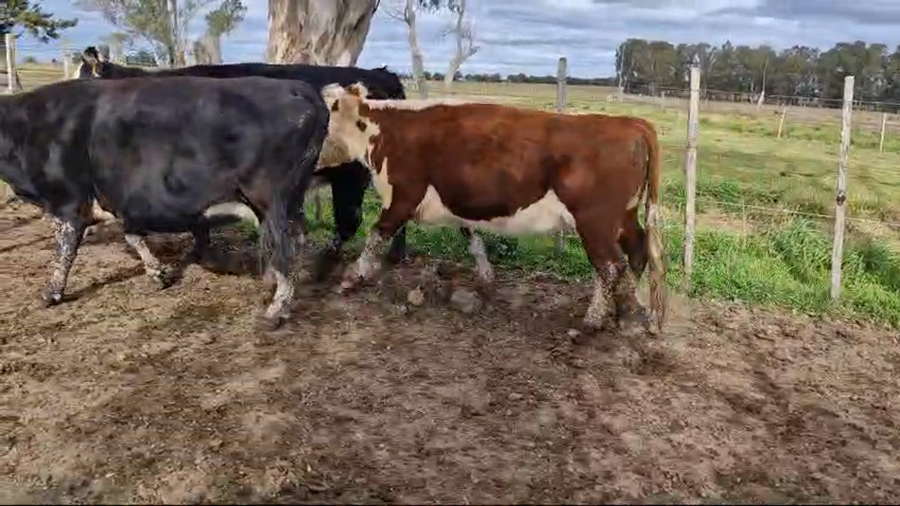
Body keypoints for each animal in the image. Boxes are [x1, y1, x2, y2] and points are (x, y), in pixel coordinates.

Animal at [0, 75, 330, 328]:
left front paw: (51, 293)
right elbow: (133, 236)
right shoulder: (122, 201)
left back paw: (275, 311)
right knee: (293, 241)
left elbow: (64, 251)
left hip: (271, 198)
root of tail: (298, 87)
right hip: (291, 200)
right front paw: (158, 274)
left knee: (286, 247)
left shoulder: (67, 202)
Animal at [319, 83, 668, 335]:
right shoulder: (460, 200)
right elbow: (472, 237)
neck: (386, 130)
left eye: (330, 115)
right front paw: (486, 277)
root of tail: (631, 123)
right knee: (636, 252)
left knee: (610, 265)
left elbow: (376, 234)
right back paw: (627, 312)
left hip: (595, 220)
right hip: (623, 216)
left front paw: (353, 276)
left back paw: (594, 318)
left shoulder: (403, 196)